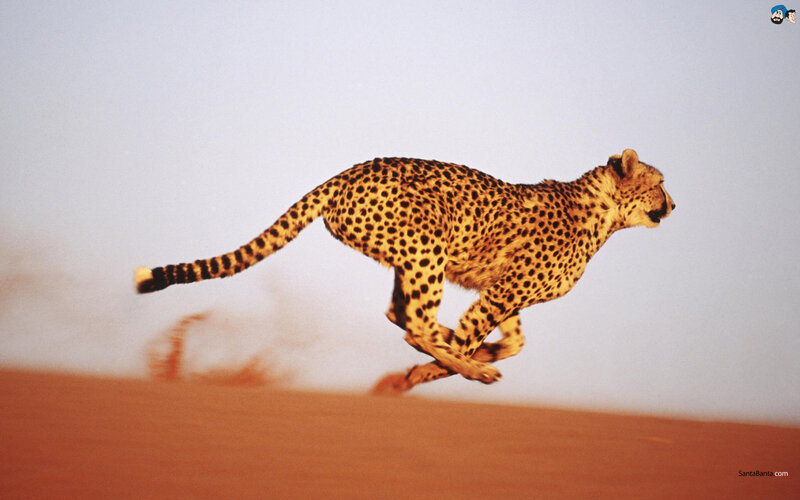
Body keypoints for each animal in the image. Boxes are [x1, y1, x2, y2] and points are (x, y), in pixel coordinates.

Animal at [135, 148, 674, 393]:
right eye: (659, 182)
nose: (673, 204)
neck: (606, 215)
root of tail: (349, 170)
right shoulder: (503, 293)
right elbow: (470, 336)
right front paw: (437, 370)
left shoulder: (503, 291)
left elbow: (514, 341)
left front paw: (478, 352)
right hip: (429, 245)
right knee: (412, 322)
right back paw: (465, 367)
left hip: (409, 256)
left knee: (401, 314)